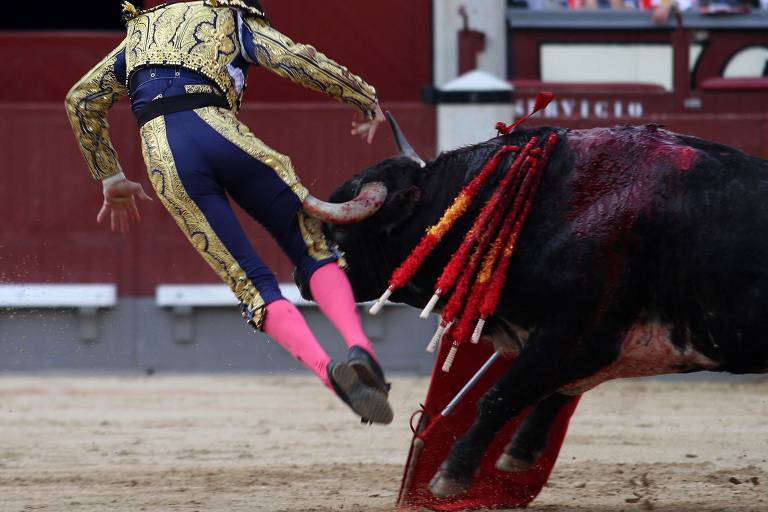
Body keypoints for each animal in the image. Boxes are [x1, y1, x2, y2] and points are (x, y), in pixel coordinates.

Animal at [316, 124, 768, 496]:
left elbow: (500, 396)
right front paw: (519, 454)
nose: (307, 280)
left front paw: (450, 476)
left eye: (340, 233)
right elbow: (552, 392)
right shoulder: (583, 346)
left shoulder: (575, 334)